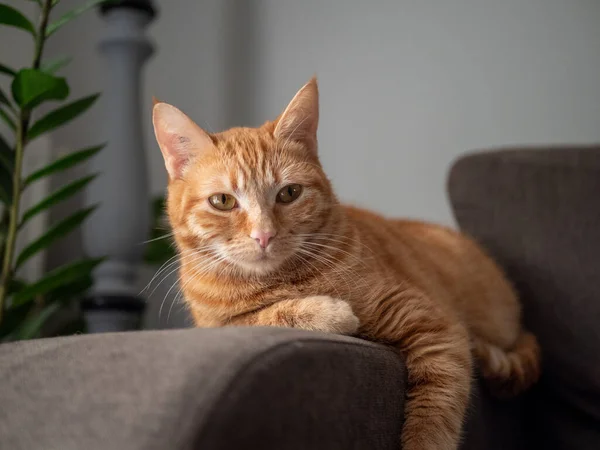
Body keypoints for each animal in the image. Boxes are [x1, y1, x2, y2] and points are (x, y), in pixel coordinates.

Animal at [152, 78, 540, 450]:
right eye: (222, 201)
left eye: (289, 194)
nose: (264, 235)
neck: (281, 281)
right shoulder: (215, 324)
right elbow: (260, 316)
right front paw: (332, 313)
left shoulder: (435, 326)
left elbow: (432, 419)